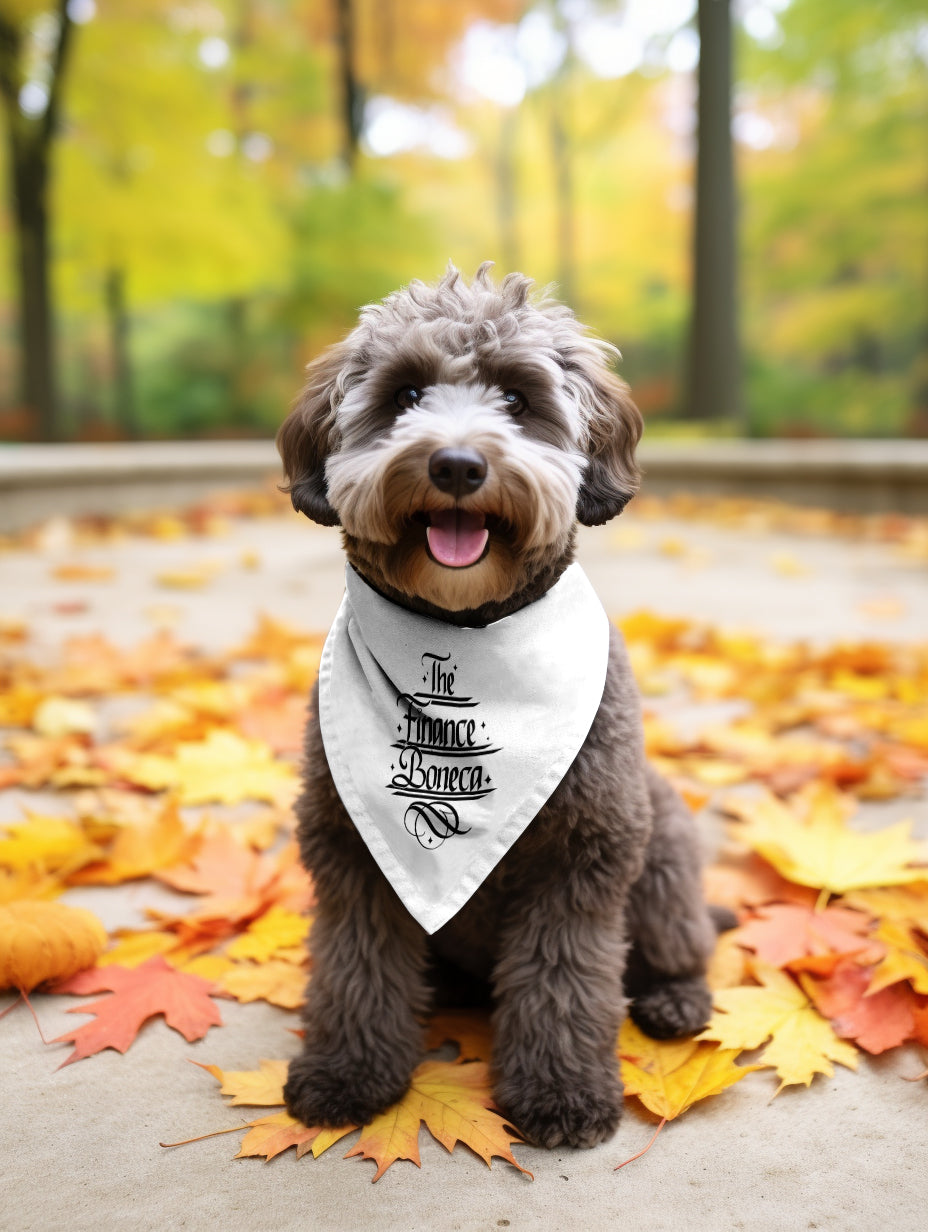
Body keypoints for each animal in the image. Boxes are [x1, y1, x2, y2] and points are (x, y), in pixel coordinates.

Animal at [278, 264, 719, 1148]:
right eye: (406, 394)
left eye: (517, 398)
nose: (454, 465)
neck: (465, 629)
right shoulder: (349, 849)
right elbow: (355, 965)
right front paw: (348, 1072)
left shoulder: (584, 852)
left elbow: (563, 979)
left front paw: (561, 1091)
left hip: (660, 848)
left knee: (682, 944)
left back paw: (674, 998)